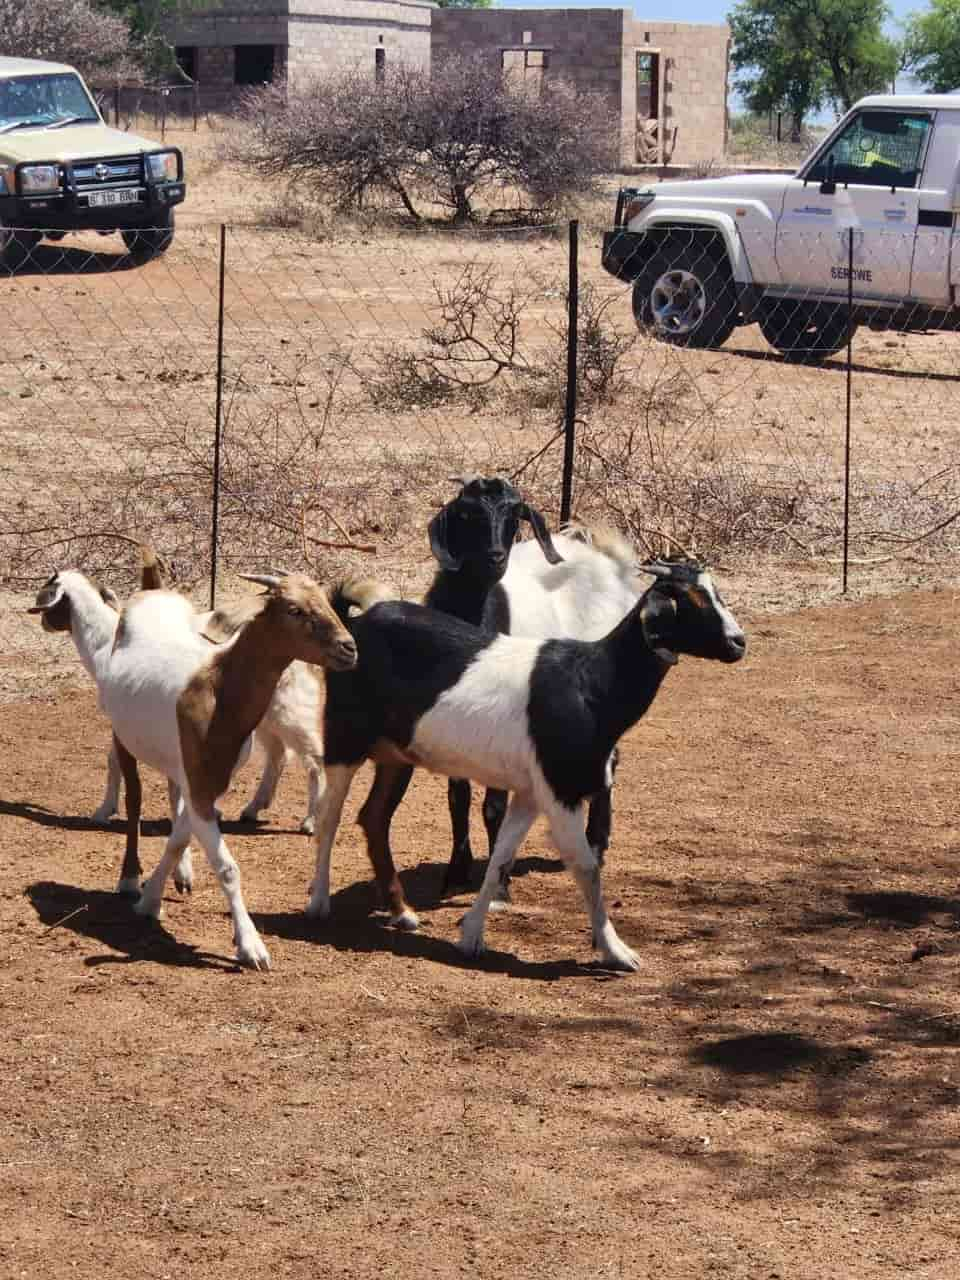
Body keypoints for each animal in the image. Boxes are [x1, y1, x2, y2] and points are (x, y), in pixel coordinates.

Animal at [305, 560, 742, 967]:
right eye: (693, 599)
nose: (739, 642)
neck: (591, 684)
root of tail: (353, 624)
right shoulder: (560, 791)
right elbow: (586, 867)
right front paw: (616, 951)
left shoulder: (531, 792)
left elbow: (501, 857)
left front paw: (471, 935)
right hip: (344, 738)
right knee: (330, 816)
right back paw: (318, 903)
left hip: (397, 755)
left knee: (374, 817)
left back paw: (402, 913)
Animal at [427, 478, 647, 890]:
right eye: (467, 514)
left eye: (515, 516)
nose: (495, 557)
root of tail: (612, 564)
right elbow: (457, 796)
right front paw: (456, 871)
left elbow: (493, 804)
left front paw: (497, 875)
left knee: (610, 758)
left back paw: (596, 842)